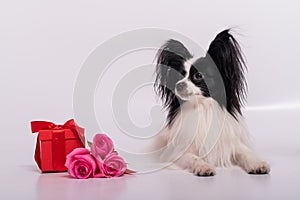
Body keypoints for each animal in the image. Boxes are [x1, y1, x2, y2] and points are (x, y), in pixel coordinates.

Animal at [154, 28, 270, 176]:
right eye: (179, 75)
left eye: (198, 75)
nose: (178, 85)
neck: (203, 107)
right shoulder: (178, 153)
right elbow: (193, 157)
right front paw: (204, 167)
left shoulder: (231, 145)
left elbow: (245, 153)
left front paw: (257, 164)